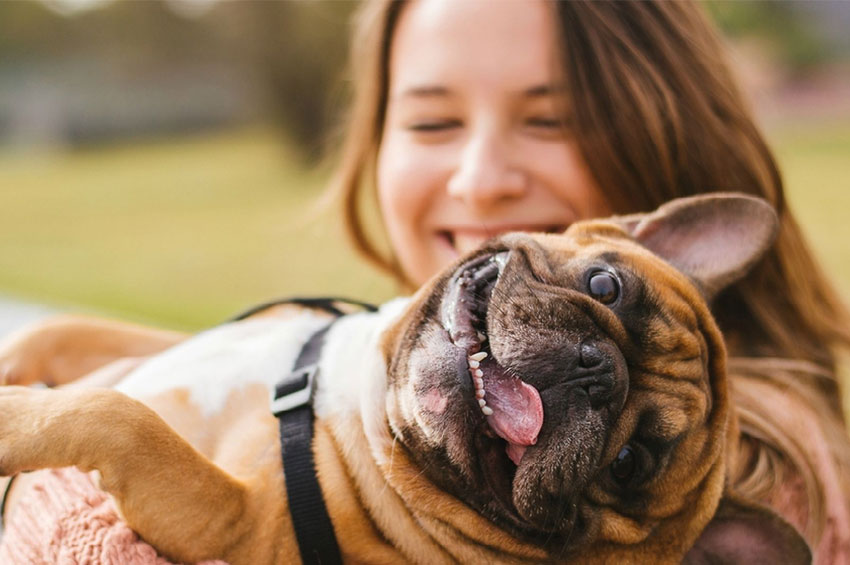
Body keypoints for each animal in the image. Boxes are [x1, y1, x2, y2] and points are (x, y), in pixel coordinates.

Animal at [0, 193, 808, 560]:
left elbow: (121, 418)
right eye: (605, 286)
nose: (595, 372)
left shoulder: (231, 524)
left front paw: (12, 420)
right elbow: (60, 332)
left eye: (629, 462)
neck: (354, 399)